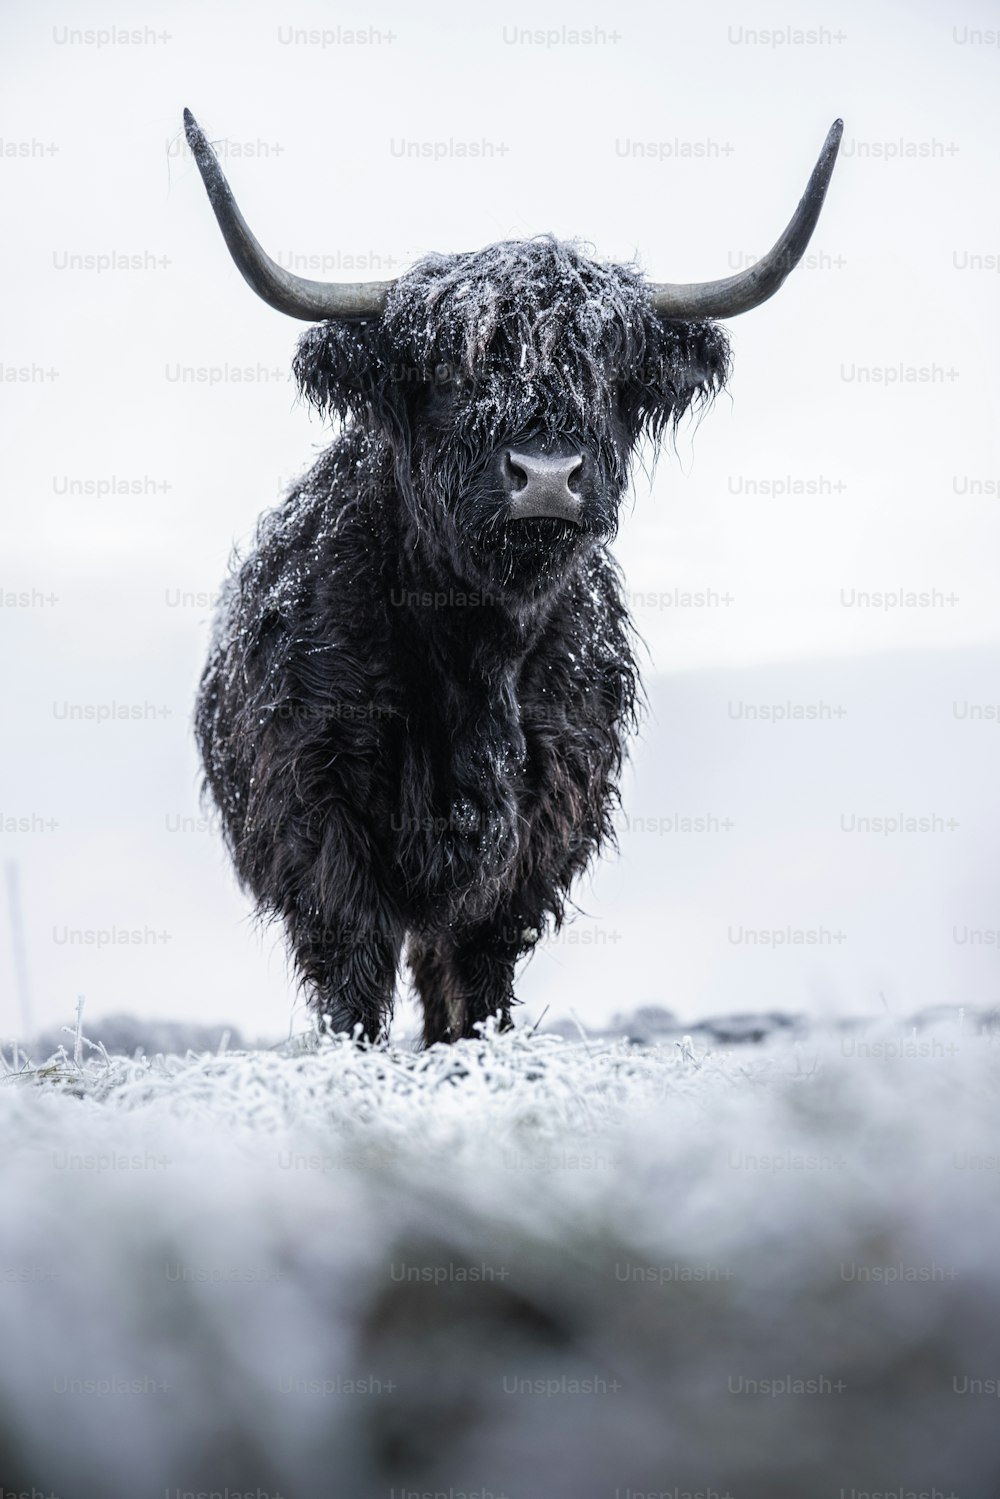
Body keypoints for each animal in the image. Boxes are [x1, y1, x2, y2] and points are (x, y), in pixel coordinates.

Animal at [183, 110, 839, 1043]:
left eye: (606, 371)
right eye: (447, 371)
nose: (547, 474)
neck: (474, 645)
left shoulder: (543, 811)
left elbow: (480, 954)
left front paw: (475, 1043)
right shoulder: (315, 791)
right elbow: (353, 952)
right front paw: (356, 1051)